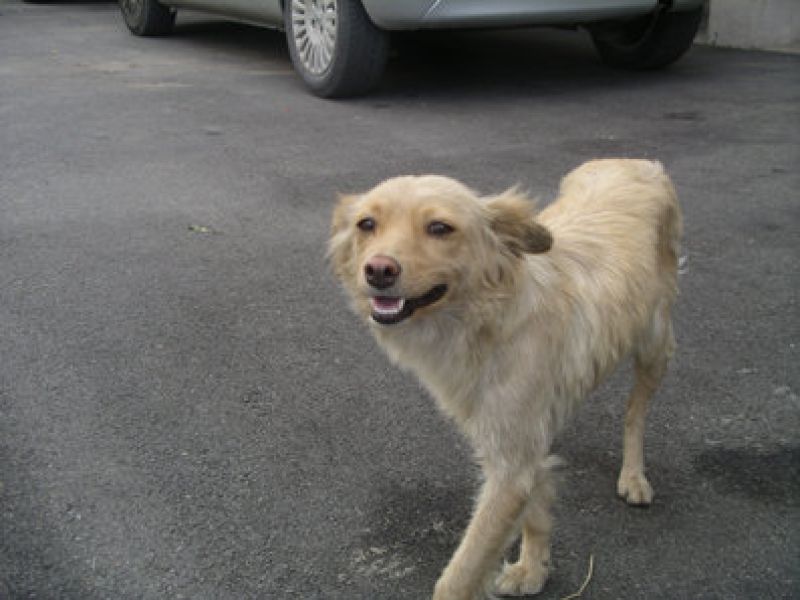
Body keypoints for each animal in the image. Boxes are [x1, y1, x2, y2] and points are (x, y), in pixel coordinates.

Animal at [328, 159, 680, 600]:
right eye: (367, 224)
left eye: (440, 228)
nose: (377, 270)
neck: (489, 318)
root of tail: (634, 161)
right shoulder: (518, 452)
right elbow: (535, 510)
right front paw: (534, 569)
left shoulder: (510, 466)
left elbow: (459, 576)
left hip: (655, 344)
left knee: (635, 411)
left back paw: (633, 476)